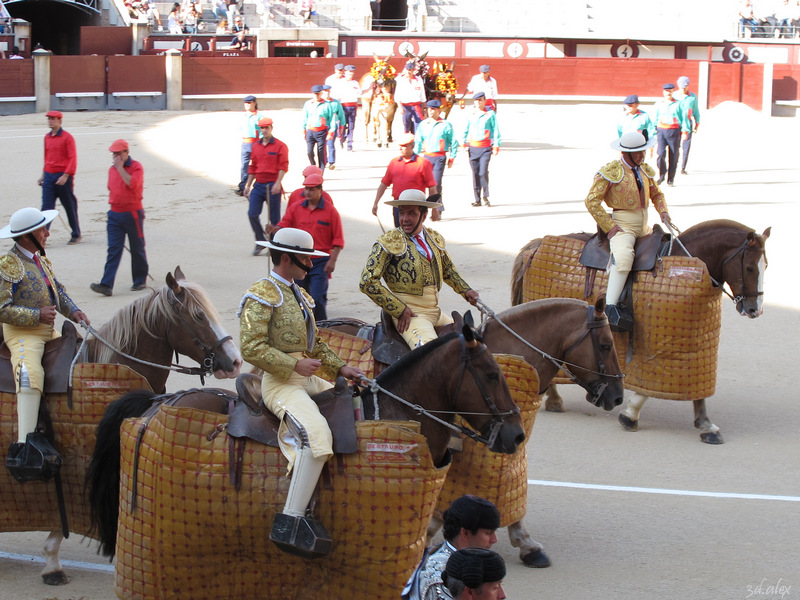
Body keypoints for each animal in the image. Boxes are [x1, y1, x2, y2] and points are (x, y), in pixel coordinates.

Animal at [512, 218, 768, 442]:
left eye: (766, 265)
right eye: (749, 267)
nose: (754, 309)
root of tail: (536, 245)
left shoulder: (694, 346)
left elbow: (697, 390)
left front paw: (707, 425)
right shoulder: (662, 349)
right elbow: (648, 387)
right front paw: (630, 415)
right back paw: (554, 399)